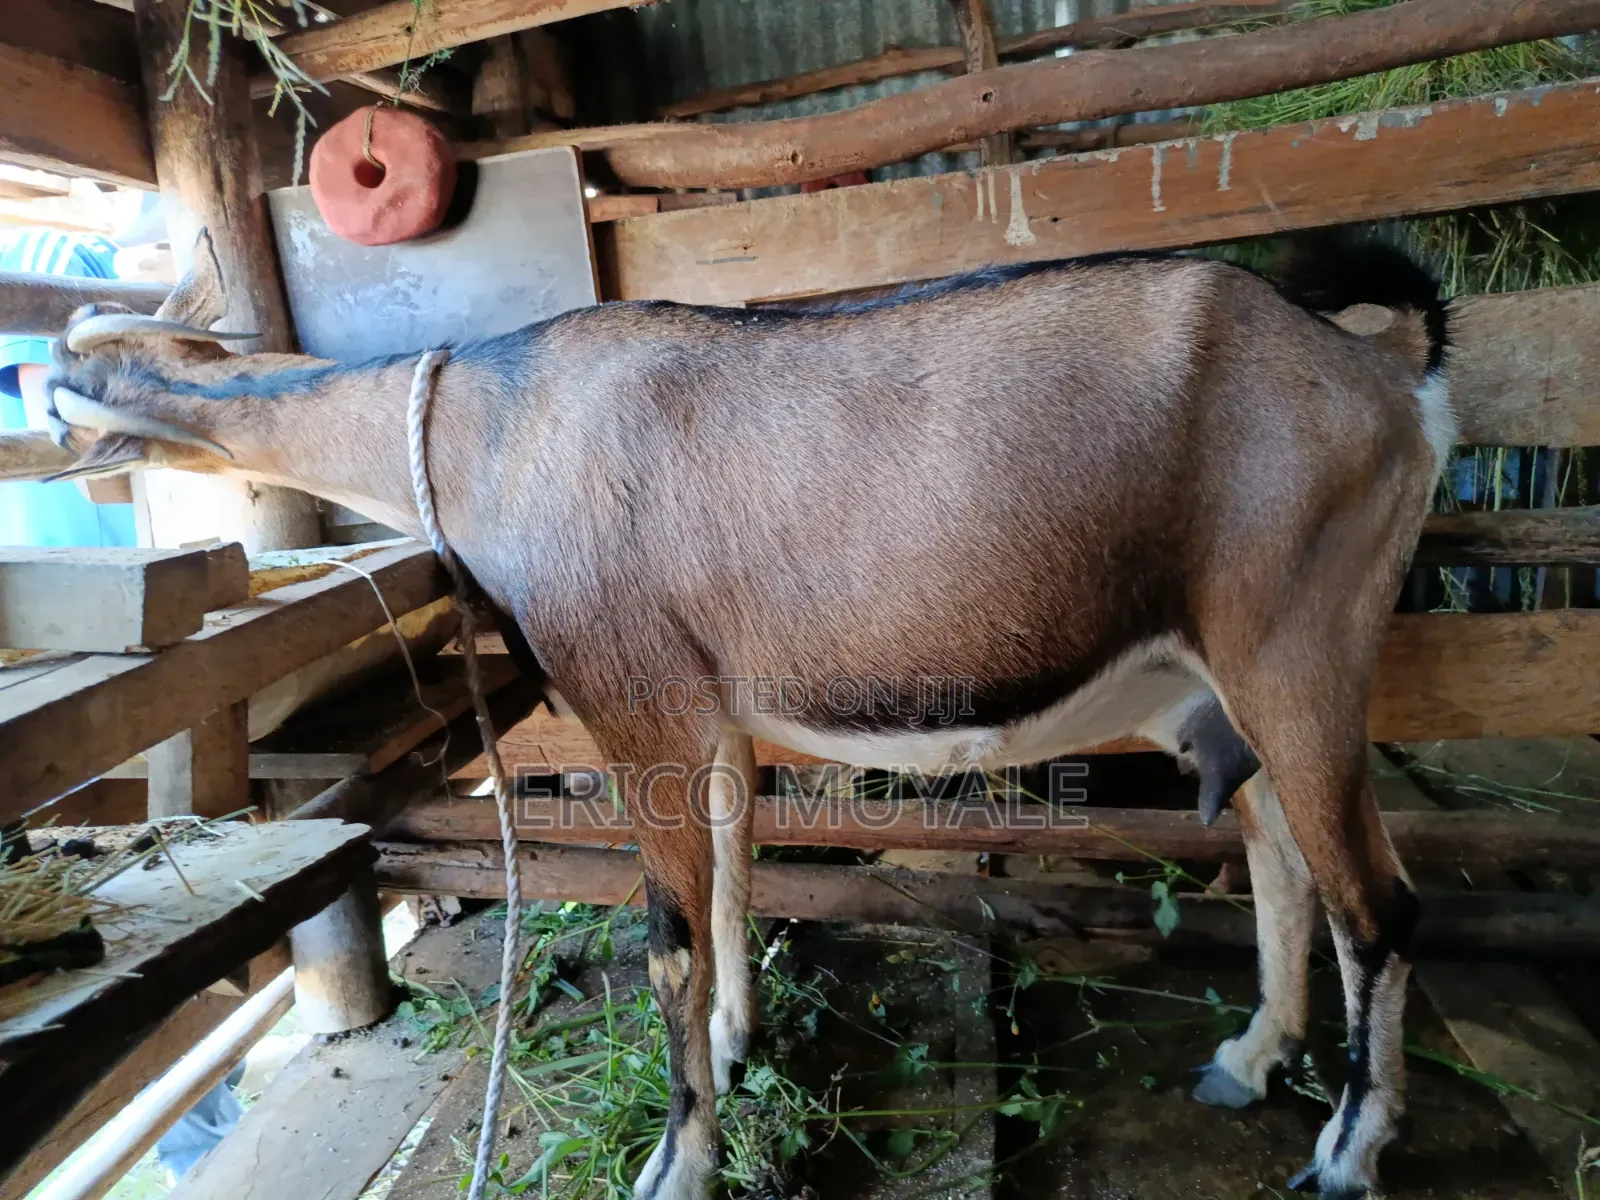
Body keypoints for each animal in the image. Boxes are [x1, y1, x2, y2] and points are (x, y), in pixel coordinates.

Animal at [38, 231, 1452, 1200]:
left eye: (67, 366)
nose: (49, 418)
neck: (483, 422)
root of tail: (1383, 371)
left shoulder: (633, 701)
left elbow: (668, 936)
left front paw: (679, 1161)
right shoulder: (709, 714)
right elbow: (728, 880)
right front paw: (732, 1045)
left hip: (1297, 642)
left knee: (1378, 903)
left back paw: (1347, 1149)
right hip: (1223, 678)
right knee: (1282, 855)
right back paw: (1249, 1058)